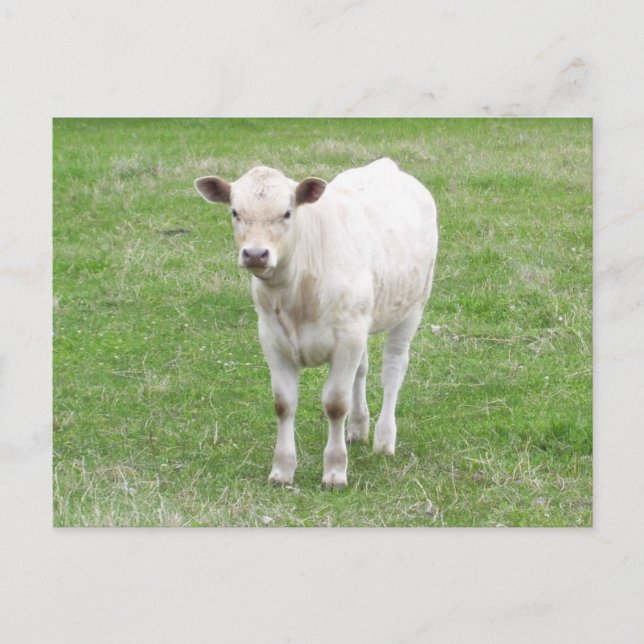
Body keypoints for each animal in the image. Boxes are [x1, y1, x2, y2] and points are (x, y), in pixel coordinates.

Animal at [195, 158, 438, 488]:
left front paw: (334, 471)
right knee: (362, 370)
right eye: (235, 211)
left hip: (413, 305)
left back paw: (384, 439)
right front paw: (282, 470)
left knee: (393, 370)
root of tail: (386, 165)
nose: (256, 253)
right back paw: (358, 428)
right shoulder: (272, 339)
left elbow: (335, 404)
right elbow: (283, 403)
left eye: (287, 212)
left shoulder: (346, 339)